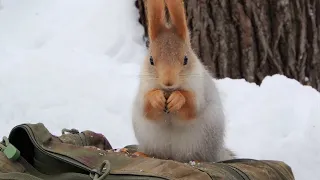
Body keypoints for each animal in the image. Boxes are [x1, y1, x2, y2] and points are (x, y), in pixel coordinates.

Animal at [131, 0, 235, 163]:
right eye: (151, 60)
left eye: (186, 59)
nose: (168, 82)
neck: (169, 90)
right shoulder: (144, 88)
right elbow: (146, 106)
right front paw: (156, 98)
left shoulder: (200, 90)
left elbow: (192, 105)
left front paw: (178, 98)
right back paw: (142, 154)